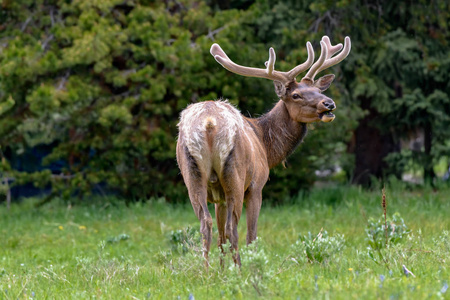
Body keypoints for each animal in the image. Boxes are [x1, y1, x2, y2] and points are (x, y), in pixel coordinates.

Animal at [177, 35, 352, 268]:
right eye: (296, 95)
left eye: (318, 91)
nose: (329, 104)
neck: (265, 146)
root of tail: (209, 123)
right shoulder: (256, 185)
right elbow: (251, 234)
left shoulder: (219, 197)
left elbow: (221, 238)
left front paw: (221, 270)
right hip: (235, 175)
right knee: (233, 228)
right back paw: (240, 269)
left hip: (193, 174)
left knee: (207, 224)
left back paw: (205, 271)